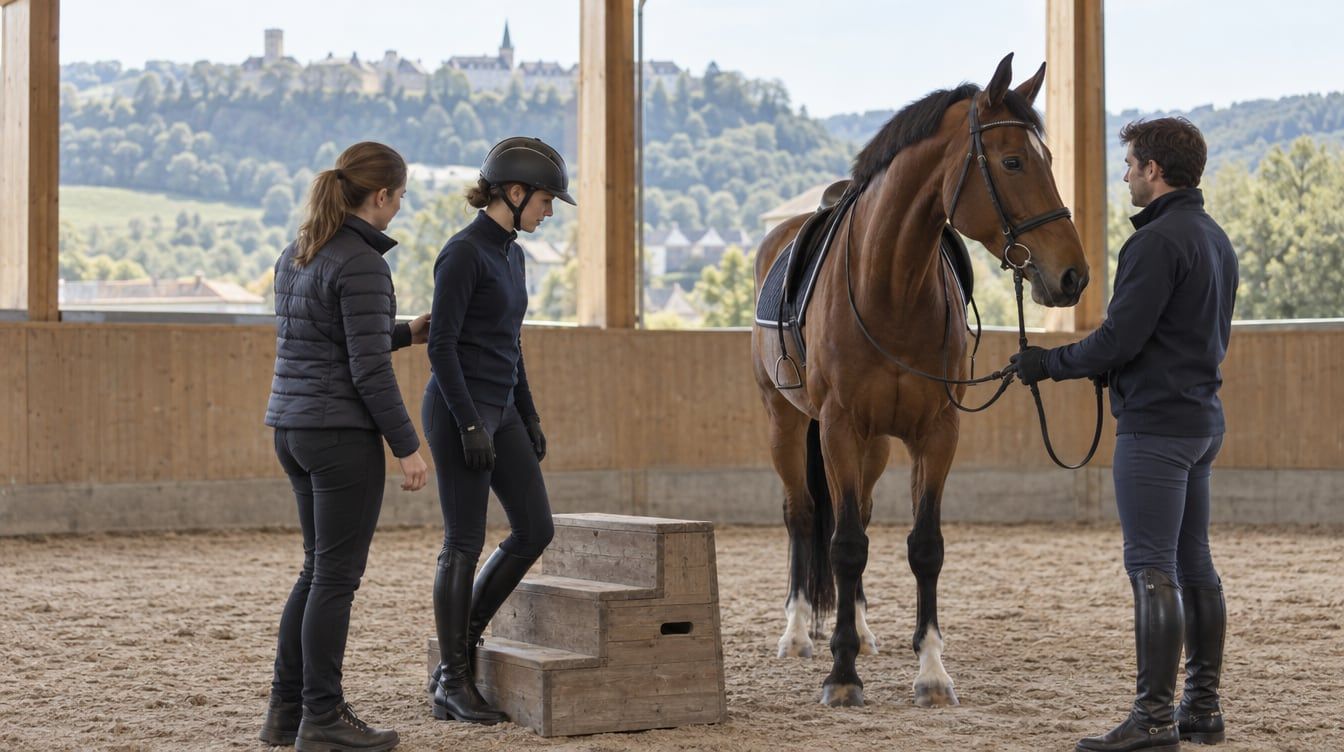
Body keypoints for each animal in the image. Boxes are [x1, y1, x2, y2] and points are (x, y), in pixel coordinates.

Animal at [750, 53, 1088, 708]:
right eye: (1013, 161)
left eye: (1049, 160)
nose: (1073, 276)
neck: (891, 287)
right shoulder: (837, 429)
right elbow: (843, 545)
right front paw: (841, 676)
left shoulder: (936, 431)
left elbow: (921, 547)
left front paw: (930, 672)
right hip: (786, 424)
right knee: (802, 515)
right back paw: (799, 633)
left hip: (876, 445)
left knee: (859, 515)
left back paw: (862, 631)